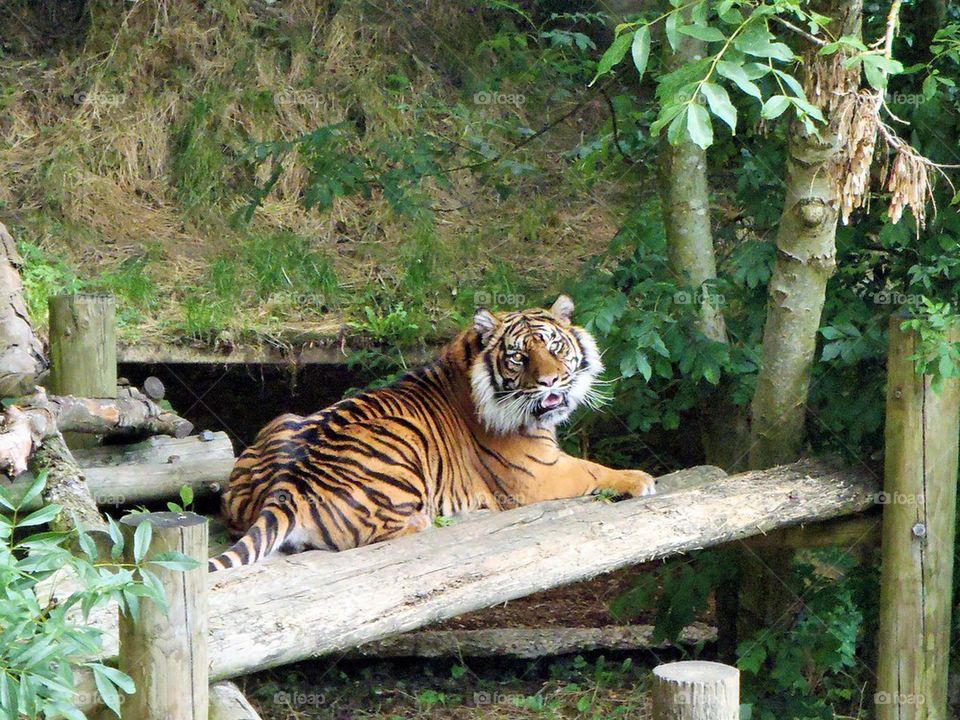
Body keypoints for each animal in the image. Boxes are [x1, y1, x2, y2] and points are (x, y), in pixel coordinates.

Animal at [208, 295, 656, 572]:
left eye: (554, 347)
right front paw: (640, 479)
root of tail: (289, 486)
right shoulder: (538, 473)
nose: (551, 382)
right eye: (518, 356)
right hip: (398, 446)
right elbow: (593, 469)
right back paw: (428, 520)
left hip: (285, 418)